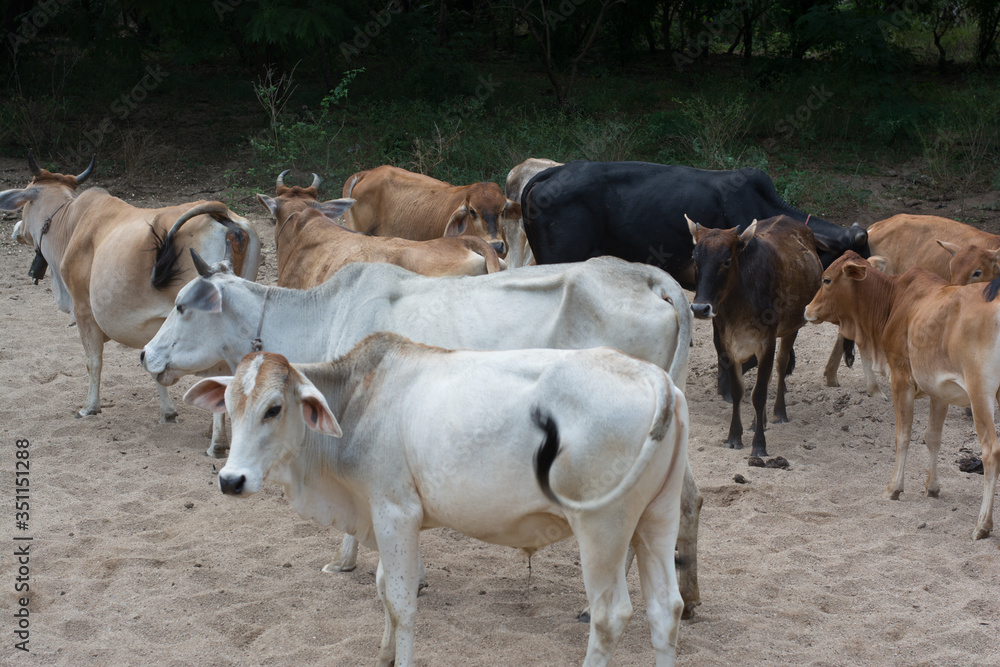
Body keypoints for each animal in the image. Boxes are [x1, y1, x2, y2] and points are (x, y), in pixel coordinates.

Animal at [0, 151, 260, 432]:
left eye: (25, 201)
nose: (16, 229)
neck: (70, 224)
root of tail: (221, 211)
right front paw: (168, 413)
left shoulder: (83, 311)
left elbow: (94, 361)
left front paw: (90, 407)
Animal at [141, 255, 703, 618]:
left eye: (183, 306)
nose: (146, 354)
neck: (325, 315)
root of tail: (643, 275)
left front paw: (365, 565)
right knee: (688, 501)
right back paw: (690, 598)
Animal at [185, 335, 689, 666]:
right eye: (229, 405)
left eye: (274, 408)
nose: (231, 479)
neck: (360, 400)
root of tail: (654, 376)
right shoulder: (381, 516)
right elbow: (384, 590)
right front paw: (384, 655)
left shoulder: (395, 513)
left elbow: (403, 602)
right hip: (657, 520)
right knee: (666, 611)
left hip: (603, 529)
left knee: (609, 616)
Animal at [688, 215, 822, 458]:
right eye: (695, 258)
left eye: (727, 261)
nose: (700, 308)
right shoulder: (727, 344)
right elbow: (738, 391)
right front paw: (734, 437)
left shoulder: (766, 341)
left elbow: (759, 394)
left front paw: (759, 445)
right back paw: (759, 421)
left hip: (790, 328)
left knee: (781, 365)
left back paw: (778, 413)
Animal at [804, 252, 1000, 542]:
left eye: (826, 280)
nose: (807, 309)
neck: (894, 299)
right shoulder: (940, 390)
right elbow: (933, 437)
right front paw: (932, 487)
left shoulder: (900, 379)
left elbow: (902, 435)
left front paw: (894, 487)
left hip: (980, 394)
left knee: (990, 452)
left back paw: (982, 525)